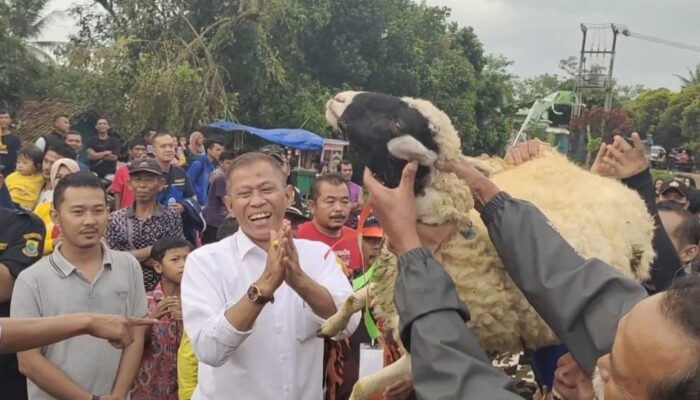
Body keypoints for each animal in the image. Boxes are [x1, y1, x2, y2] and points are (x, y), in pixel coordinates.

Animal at [320, 91, 652, 400]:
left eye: (397, 123)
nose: (338, 99)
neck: (444, 234)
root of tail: (624, 192)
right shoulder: (387, 279)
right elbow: (354, 297)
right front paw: (330, 326)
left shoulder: (421, 350)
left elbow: (361, 386)